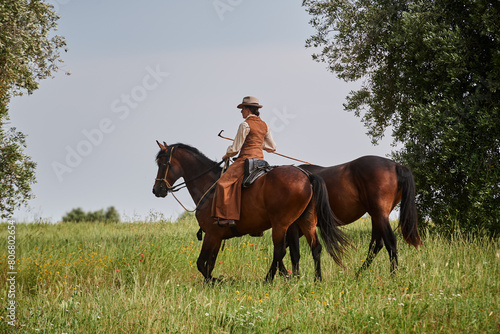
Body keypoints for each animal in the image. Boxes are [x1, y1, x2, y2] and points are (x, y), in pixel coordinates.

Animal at [154, 142, 350, 284]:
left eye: (162, 163)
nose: (157, 190)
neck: (209, 186)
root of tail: (307, 176)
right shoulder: (216, 237)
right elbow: (209, 264)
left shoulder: (211, 234)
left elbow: (202, 264)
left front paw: (217, 281)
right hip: (306, 221)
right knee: (315, 247)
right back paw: (317, 279)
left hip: (281, 224)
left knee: (279, 251)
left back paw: (269, 279)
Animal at [286, 157, 422, 276]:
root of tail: (396, 166)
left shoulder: (293, 226)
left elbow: (294, 253)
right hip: (377, 217)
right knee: (376, 244)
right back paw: (358, 275)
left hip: (380, 215)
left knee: (390, 242)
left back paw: (393, 275)